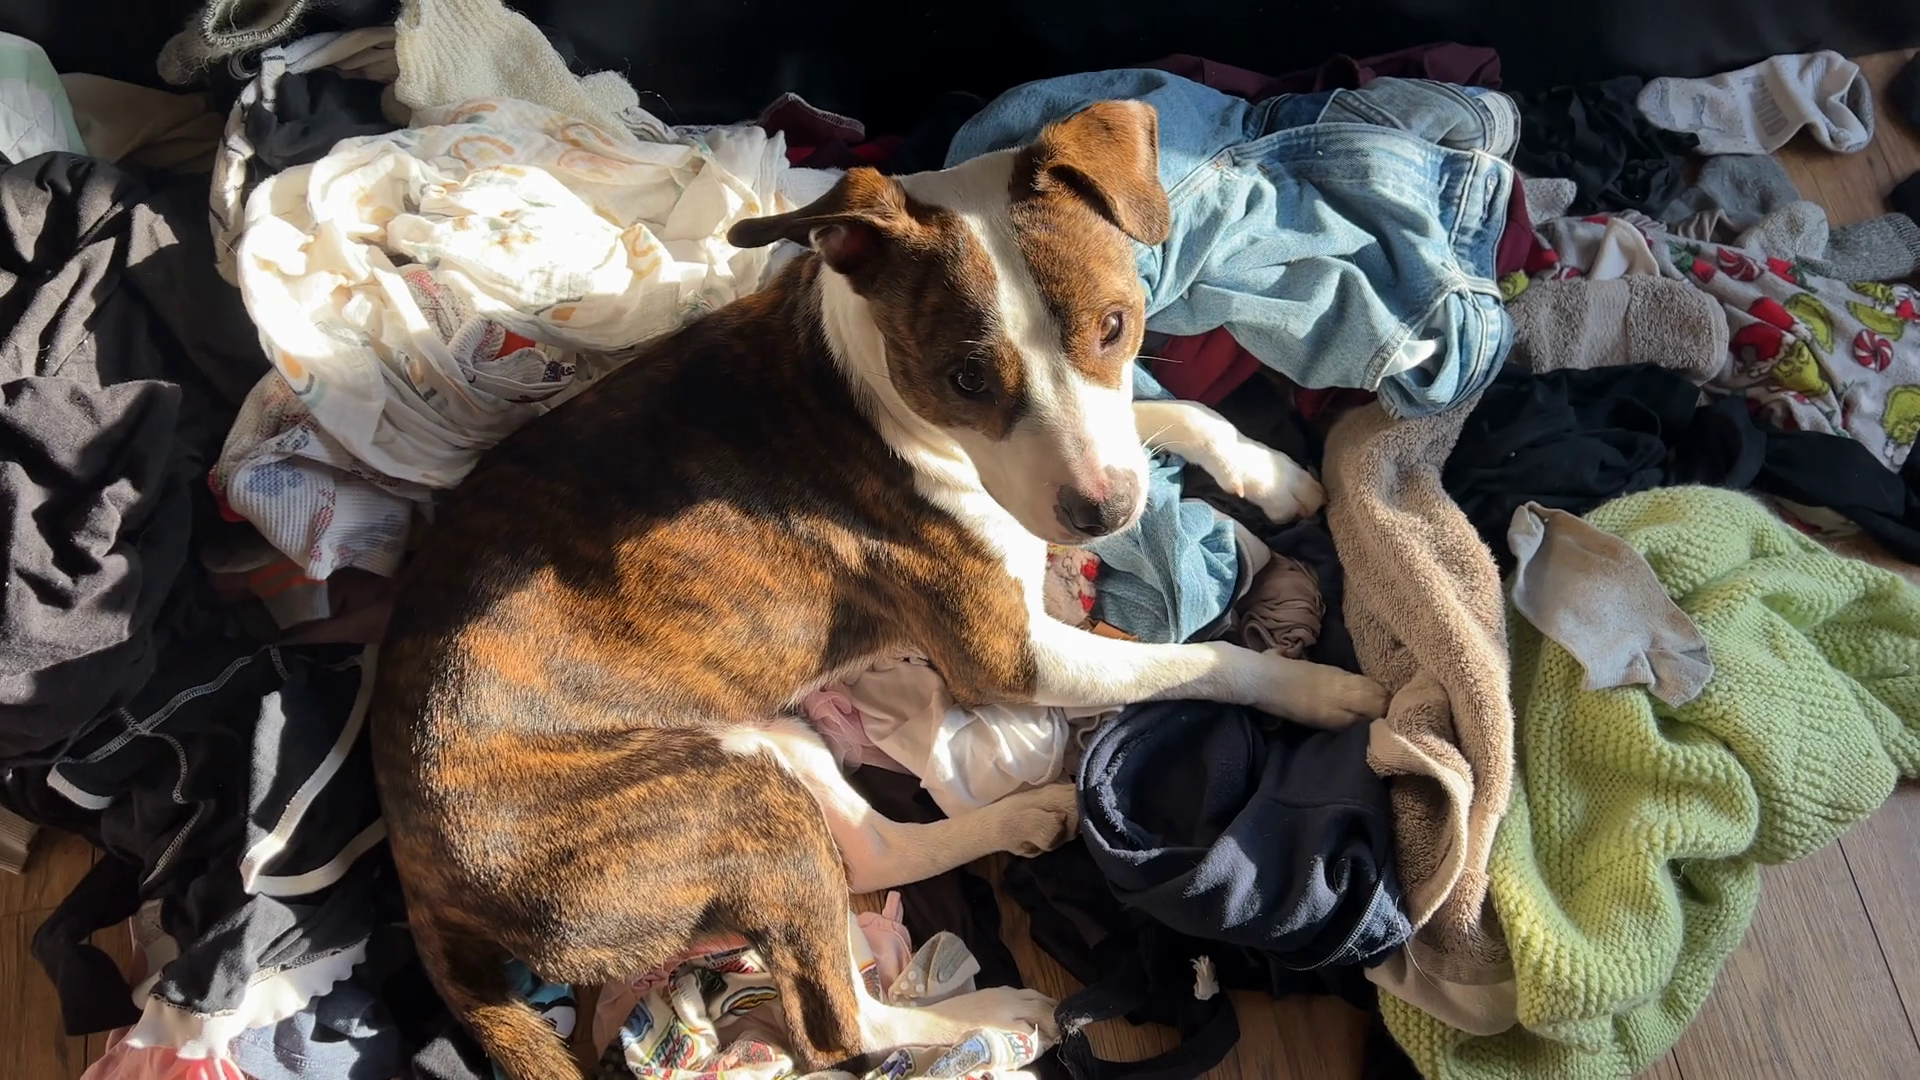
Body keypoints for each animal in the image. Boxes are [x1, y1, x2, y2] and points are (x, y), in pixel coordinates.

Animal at [367, 99, 1389, 1080]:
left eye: (1114, 324)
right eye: (966, 377)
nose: (1104, 513)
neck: (872, 381)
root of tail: (418, 880)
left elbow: (1162, 410)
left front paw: (1267, 472)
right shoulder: (1011, 657)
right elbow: (1203, 660)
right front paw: (1325, 691)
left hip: (754, 746)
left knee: (872, 848)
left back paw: (1027, 819)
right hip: (722, 814)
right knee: (838, 1024)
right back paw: (991, 1017)